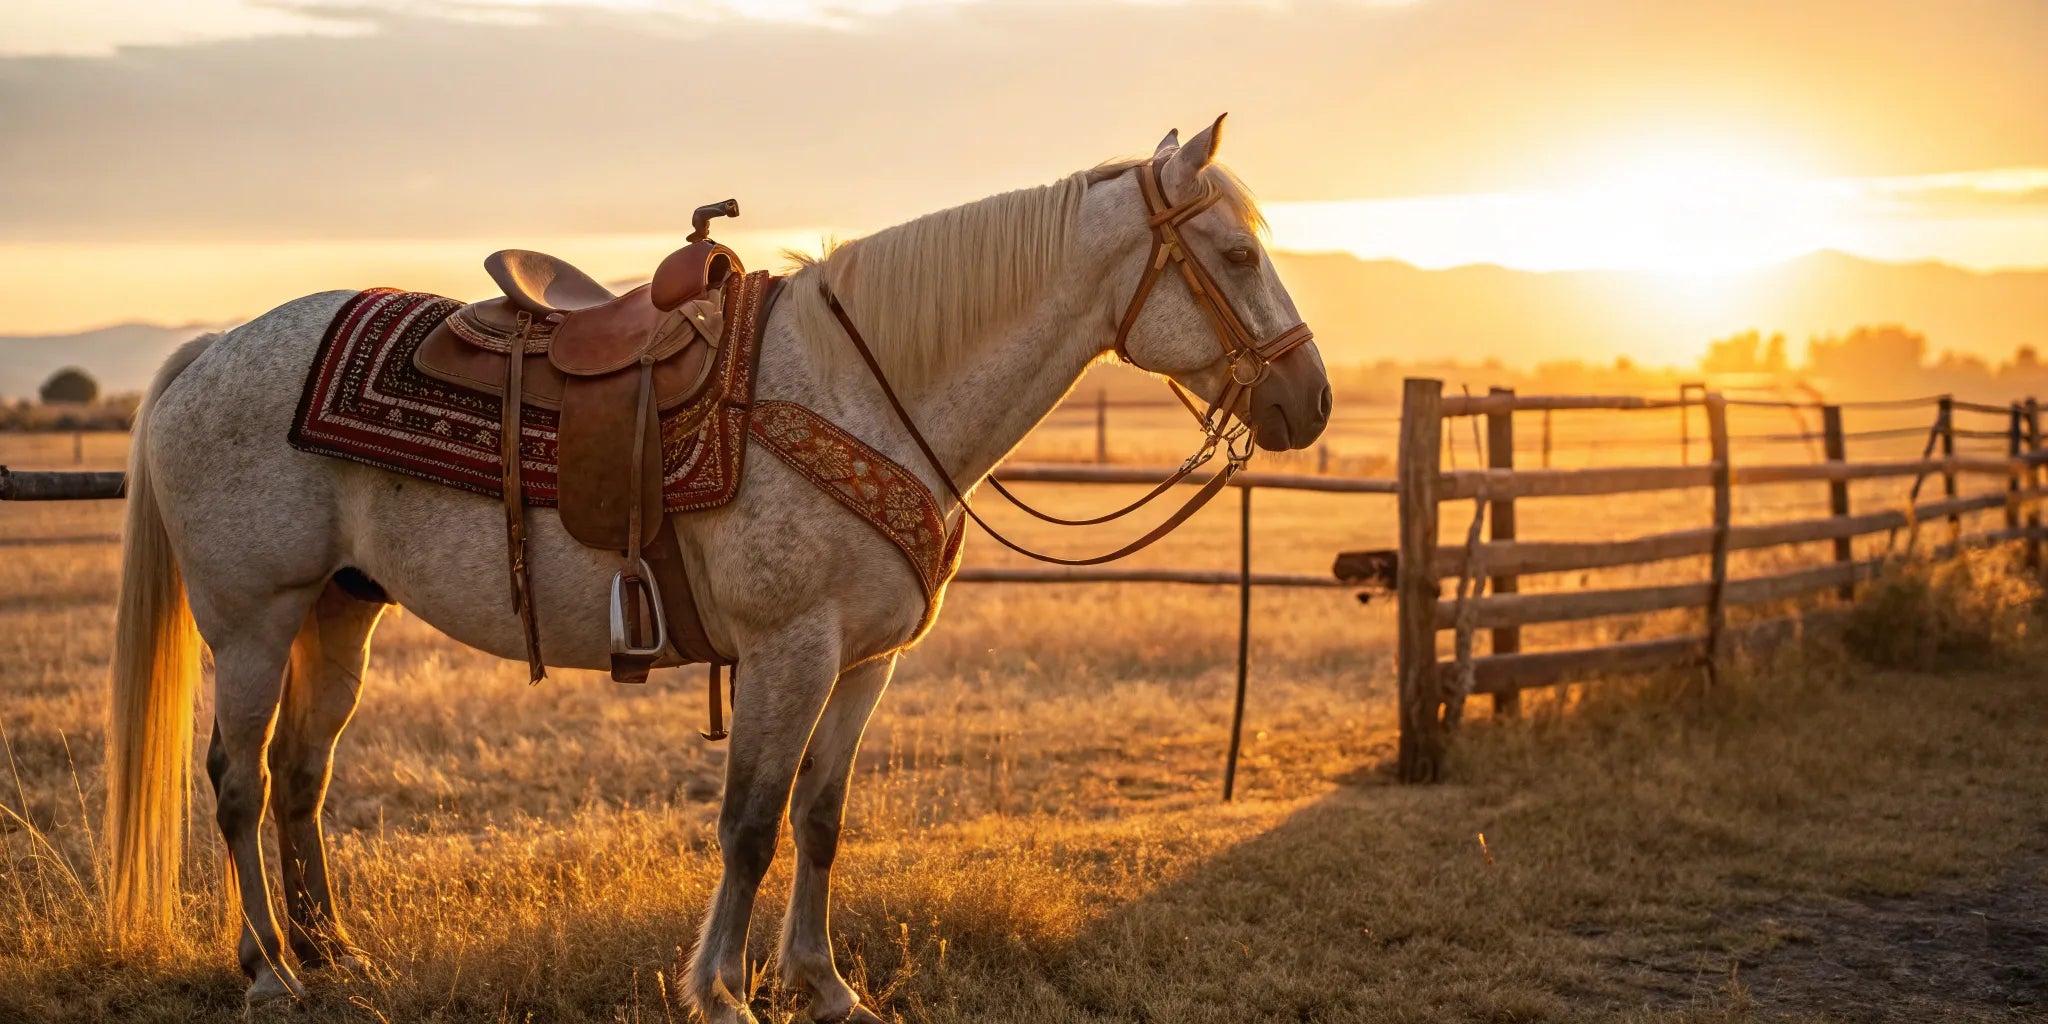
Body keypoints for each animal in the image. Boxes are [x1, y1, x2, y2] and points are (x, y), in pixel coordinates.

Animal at [103, 116, 1332, 1023]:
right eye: (1234, 256)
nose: (1308, 400)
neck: (864, 388)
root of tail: (208, 351)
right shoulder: (789, 653)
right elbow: (749, 818)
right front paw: (723, 992)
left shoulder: (862, 665)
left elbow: (820, 816)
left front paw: (823, 986)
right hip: (253, 621)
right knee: (238, 780)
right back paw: (269, 969)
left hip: (339, 613)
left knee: (301, 776)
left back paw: (334, 951)